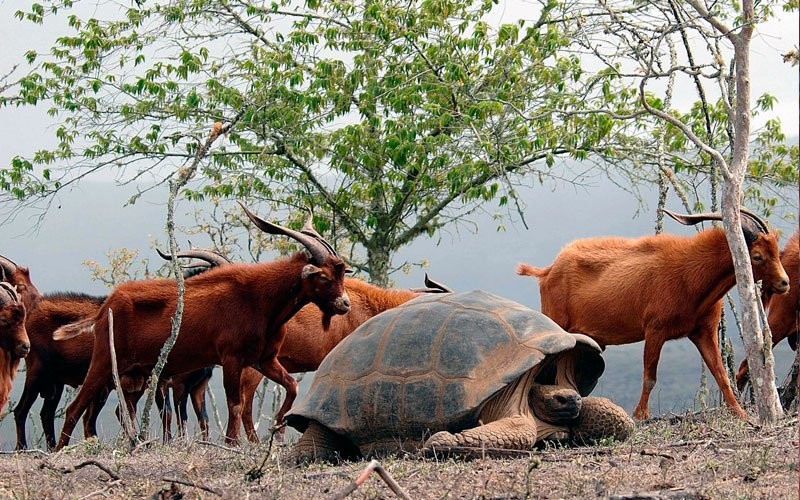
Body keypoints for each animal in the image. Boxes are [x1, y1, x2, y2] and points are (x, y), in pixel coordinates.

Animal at [51, 204, 348, 450]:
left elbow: (291, 386)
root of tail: (106, 307)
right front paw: (231, 444)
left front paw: (278, 426)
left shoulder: (264, 359)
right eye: (323, 276)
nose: (344, 304)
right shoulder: (230, 358)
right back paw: (59, 451)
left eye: (341, 273)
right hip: (105, 362)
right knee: (75, 408)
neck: (260, 299)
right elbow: (235, 403)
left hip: (135, 373)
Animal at [520, 209, 788, 420]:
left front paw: (740, 413)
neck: (690, 274)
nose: (784, 283)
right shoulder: (655, 330)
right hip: (556, 322)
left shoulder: (703, 331)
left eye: (777, 251)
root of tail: (548, 271)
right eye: (757, 256)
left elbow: (720, 373)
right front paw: (640, 416)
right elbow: (650, 377)